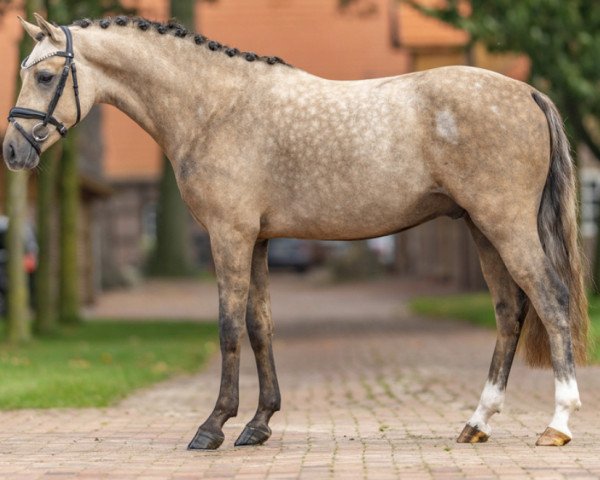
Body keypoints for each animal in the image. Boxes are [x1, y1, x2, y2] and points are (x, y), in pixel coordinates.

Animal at [2, 15, 588, 450]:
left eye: (46, 76)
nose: (12, 151)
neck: (213, 106)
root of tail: (527, 92)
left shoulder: (229, 235)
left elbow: (229, 327)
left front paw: (213, 426)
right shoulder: (259, 240)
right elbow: (261, 326)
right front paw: (259, 424)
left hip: (505, 225)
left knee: (551, 301)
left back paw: (558, 424)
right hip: (483, 231)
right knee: (510, 313)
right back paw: (477, 423)